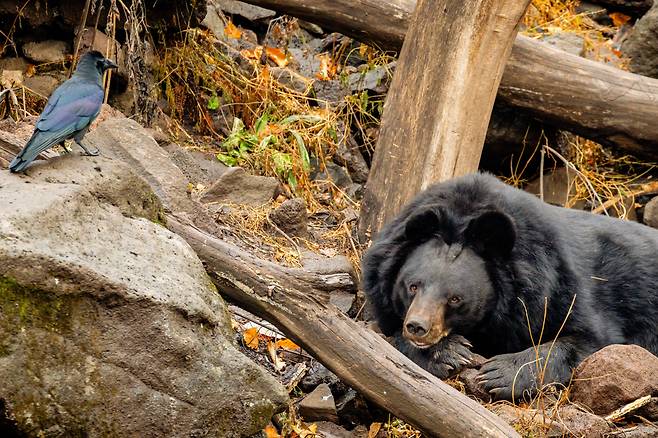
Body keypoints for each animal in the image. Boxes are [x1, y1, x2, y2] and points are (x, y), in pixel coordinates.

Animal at [362, 172, 658, 401]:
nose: (417, 327)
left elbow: (590, 339)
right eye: (412, 286)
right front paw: (449, 353)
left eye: (455, 299)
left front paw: (499, 374)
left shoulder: (561, 287)